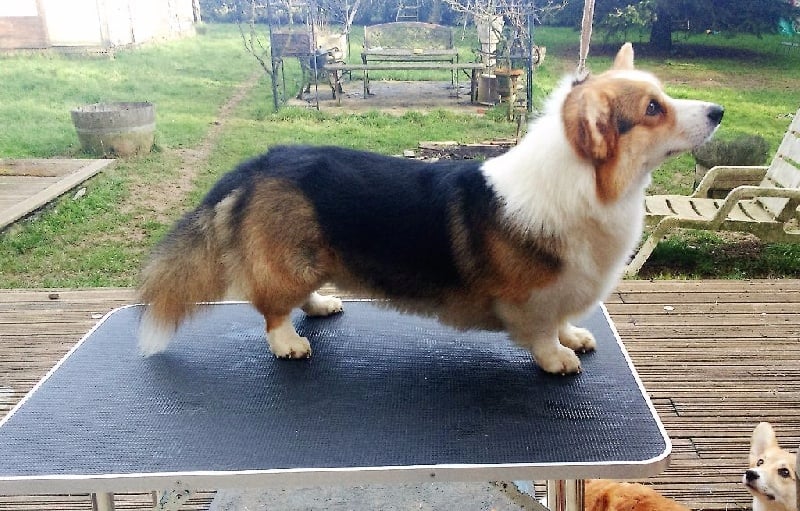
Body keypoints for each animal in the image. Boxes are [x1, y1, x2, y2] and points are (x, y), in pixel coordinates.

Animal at [138, 43, 723, 374]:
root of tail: (262, 161)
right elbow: (540, 330)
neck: (588, 186)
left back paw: (322, 305)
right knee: (273, 308)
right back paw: (289, 343)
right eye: (654, 109)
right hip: (291, 262)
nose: (718, 111)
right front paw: (558, 357)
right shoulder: (530, 299)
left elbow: (560, 320)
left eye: (662, 94)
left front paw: (572, 337)